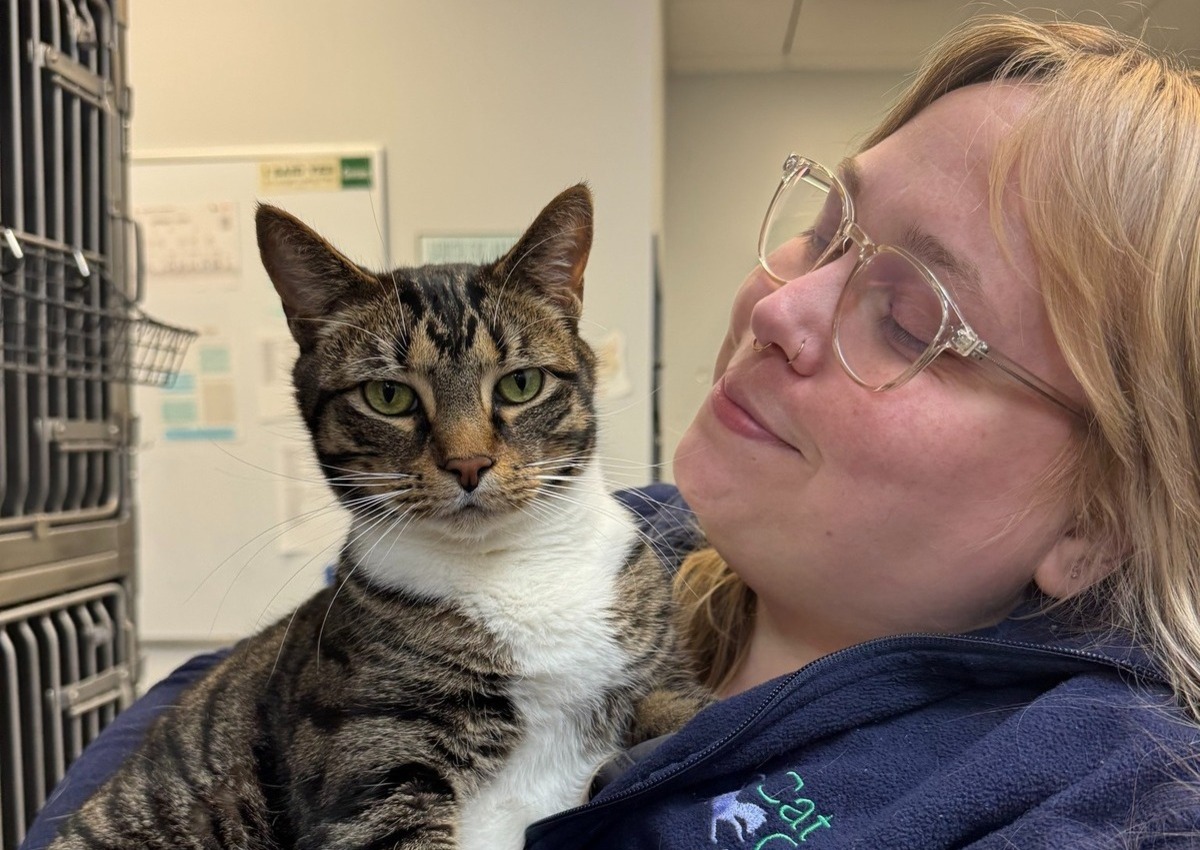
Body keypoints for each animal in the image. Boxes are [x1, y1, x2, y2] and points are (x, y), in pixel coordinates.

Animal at [51, 186, 705, 850]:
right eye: (389, 396)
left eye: (520, 384)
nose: (468, 463)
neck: (509, 567)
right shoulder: (372, 774)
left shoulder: (664, 679)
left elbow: (688, 713)